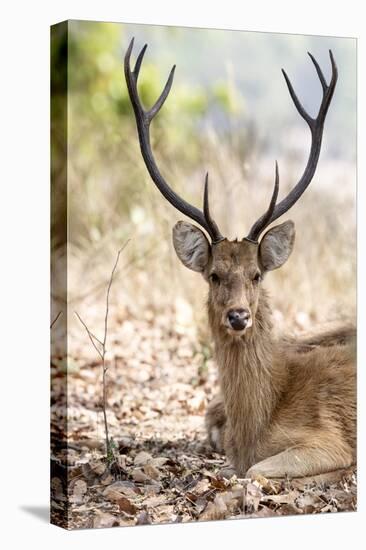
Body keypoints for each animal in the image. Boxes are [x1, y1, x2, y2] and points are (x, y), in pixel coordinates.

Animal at [124, 38, 356, 478]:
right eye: (214, 275)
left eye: (256, 274)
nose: (238, 316)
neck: (255, 428)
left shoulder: (329, 439)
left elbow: (256, 471)